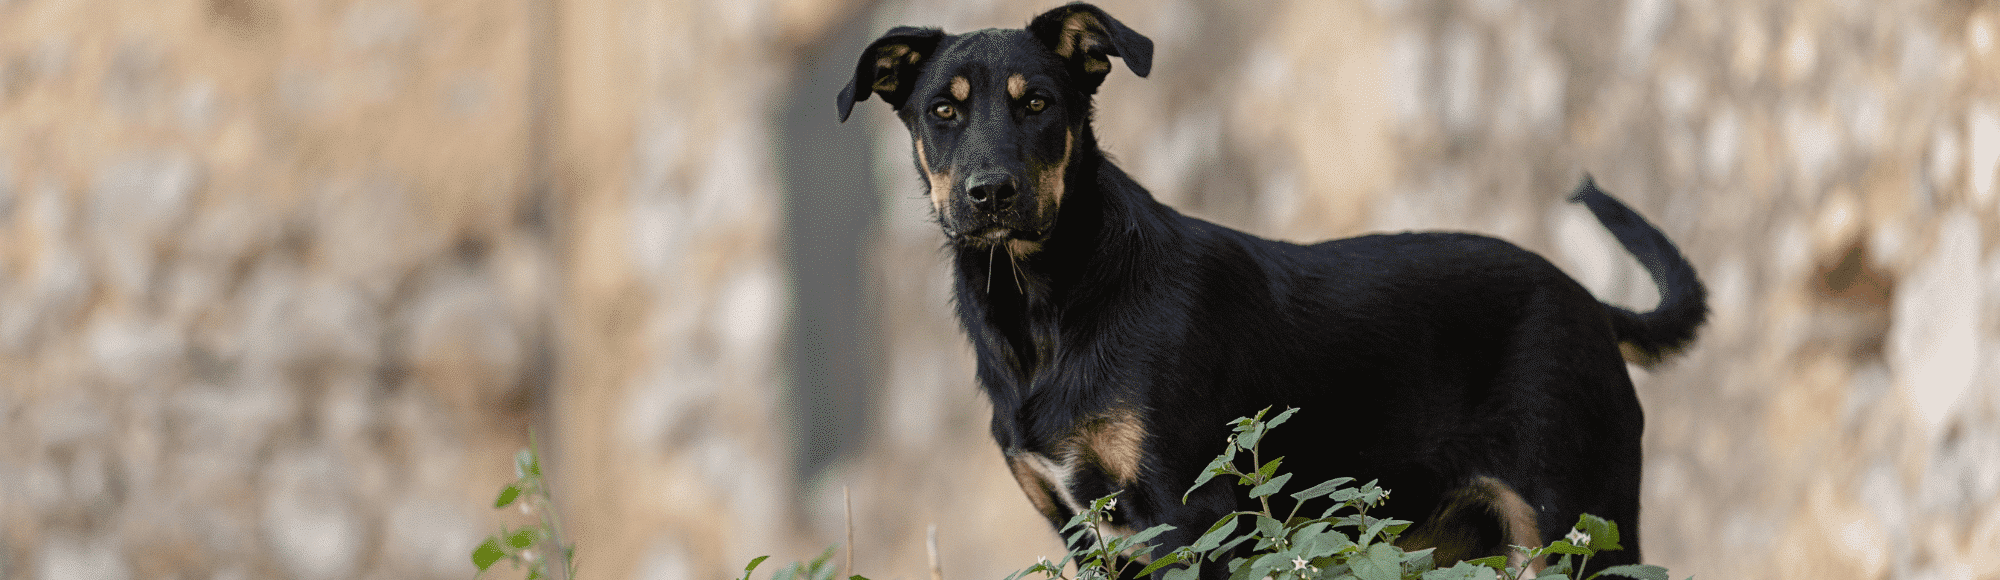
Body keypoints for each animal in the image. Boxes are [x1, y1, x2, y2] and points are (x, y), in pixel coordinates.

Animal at [840, 4, 1704, 576]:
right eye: (942, 112)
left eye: (1039, 104)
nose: (990, 193)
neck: (1047, 306)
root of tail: (1592, 305)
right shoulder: (1084, 533)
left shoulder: (1190, 511)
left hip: (1581, 521)